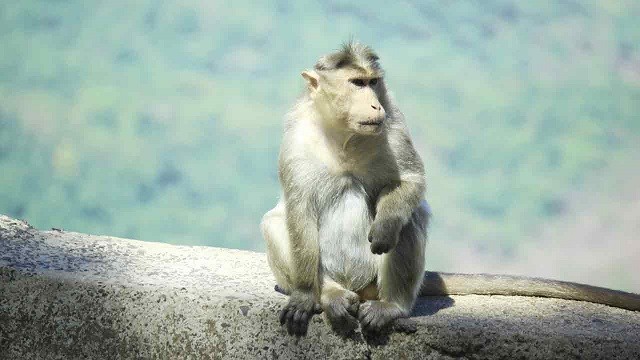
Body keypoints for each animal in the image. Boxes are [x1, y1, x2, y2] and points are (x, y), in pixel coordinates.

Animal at [262, 43, 640, 338]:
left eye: (373, 83)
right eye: (356, 83)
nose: (373, 104)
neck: (344, 136)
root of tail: (362, 288)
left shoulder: (393, 120)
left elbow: (410, 182)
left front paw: (385, 227)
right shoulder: (296, 137)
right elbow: (299, 209)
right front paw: (306, 296)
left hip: (375, 280)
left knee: (410, 217)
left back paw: (391, 305)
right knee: (276, 223)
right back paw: (330, 294)